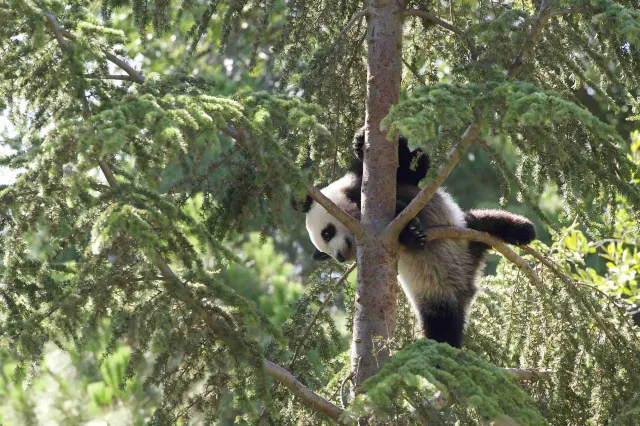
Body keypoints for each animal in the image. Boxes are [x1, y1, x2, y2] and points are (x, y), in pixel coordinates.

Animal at [296, 128, 536, 348]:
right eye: (325, 254)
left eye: (327, 233)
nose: (339, 257)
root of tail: (468, 282)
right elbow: (403, 225)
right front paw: (412, 234)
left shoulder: (373, 184)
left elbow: (416, 168)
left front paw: (361, 140)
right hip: (435, 296)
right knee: (443, 325)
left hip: (464, 233)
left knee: (487, 222)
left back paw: (524, 230)